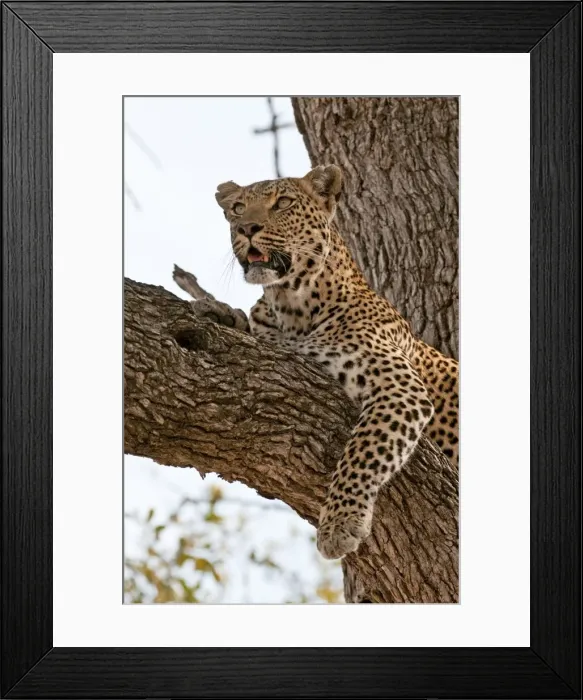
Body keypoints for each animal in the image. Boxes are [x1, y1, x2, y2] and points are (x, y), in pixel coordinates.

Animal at [192, 164, 459, 561]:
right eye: (238, 208)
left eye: (283, 203)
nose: (247, 228)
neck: (291, 306)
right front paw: (219, 312)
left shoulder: (400, 387)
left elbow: (364, 450)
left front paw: (339, 522)